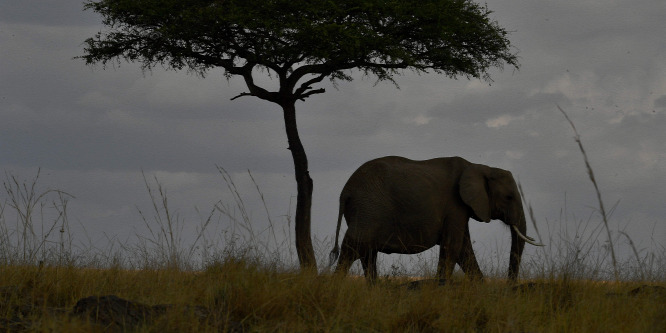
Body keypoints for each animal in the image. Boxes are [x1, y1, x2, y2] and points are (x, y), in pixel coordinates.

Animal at [326, 156, 540, 280]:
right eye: (509, 197)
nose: (509, 286)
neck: (480, 167)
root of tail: (345, 191)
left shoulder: (459, 209)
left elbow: (464, 250)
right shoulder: (455, 204)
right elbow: (453, 246)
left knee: (367, 252)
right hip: (369, 207)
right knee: (354, 246)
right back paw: (336, 286)